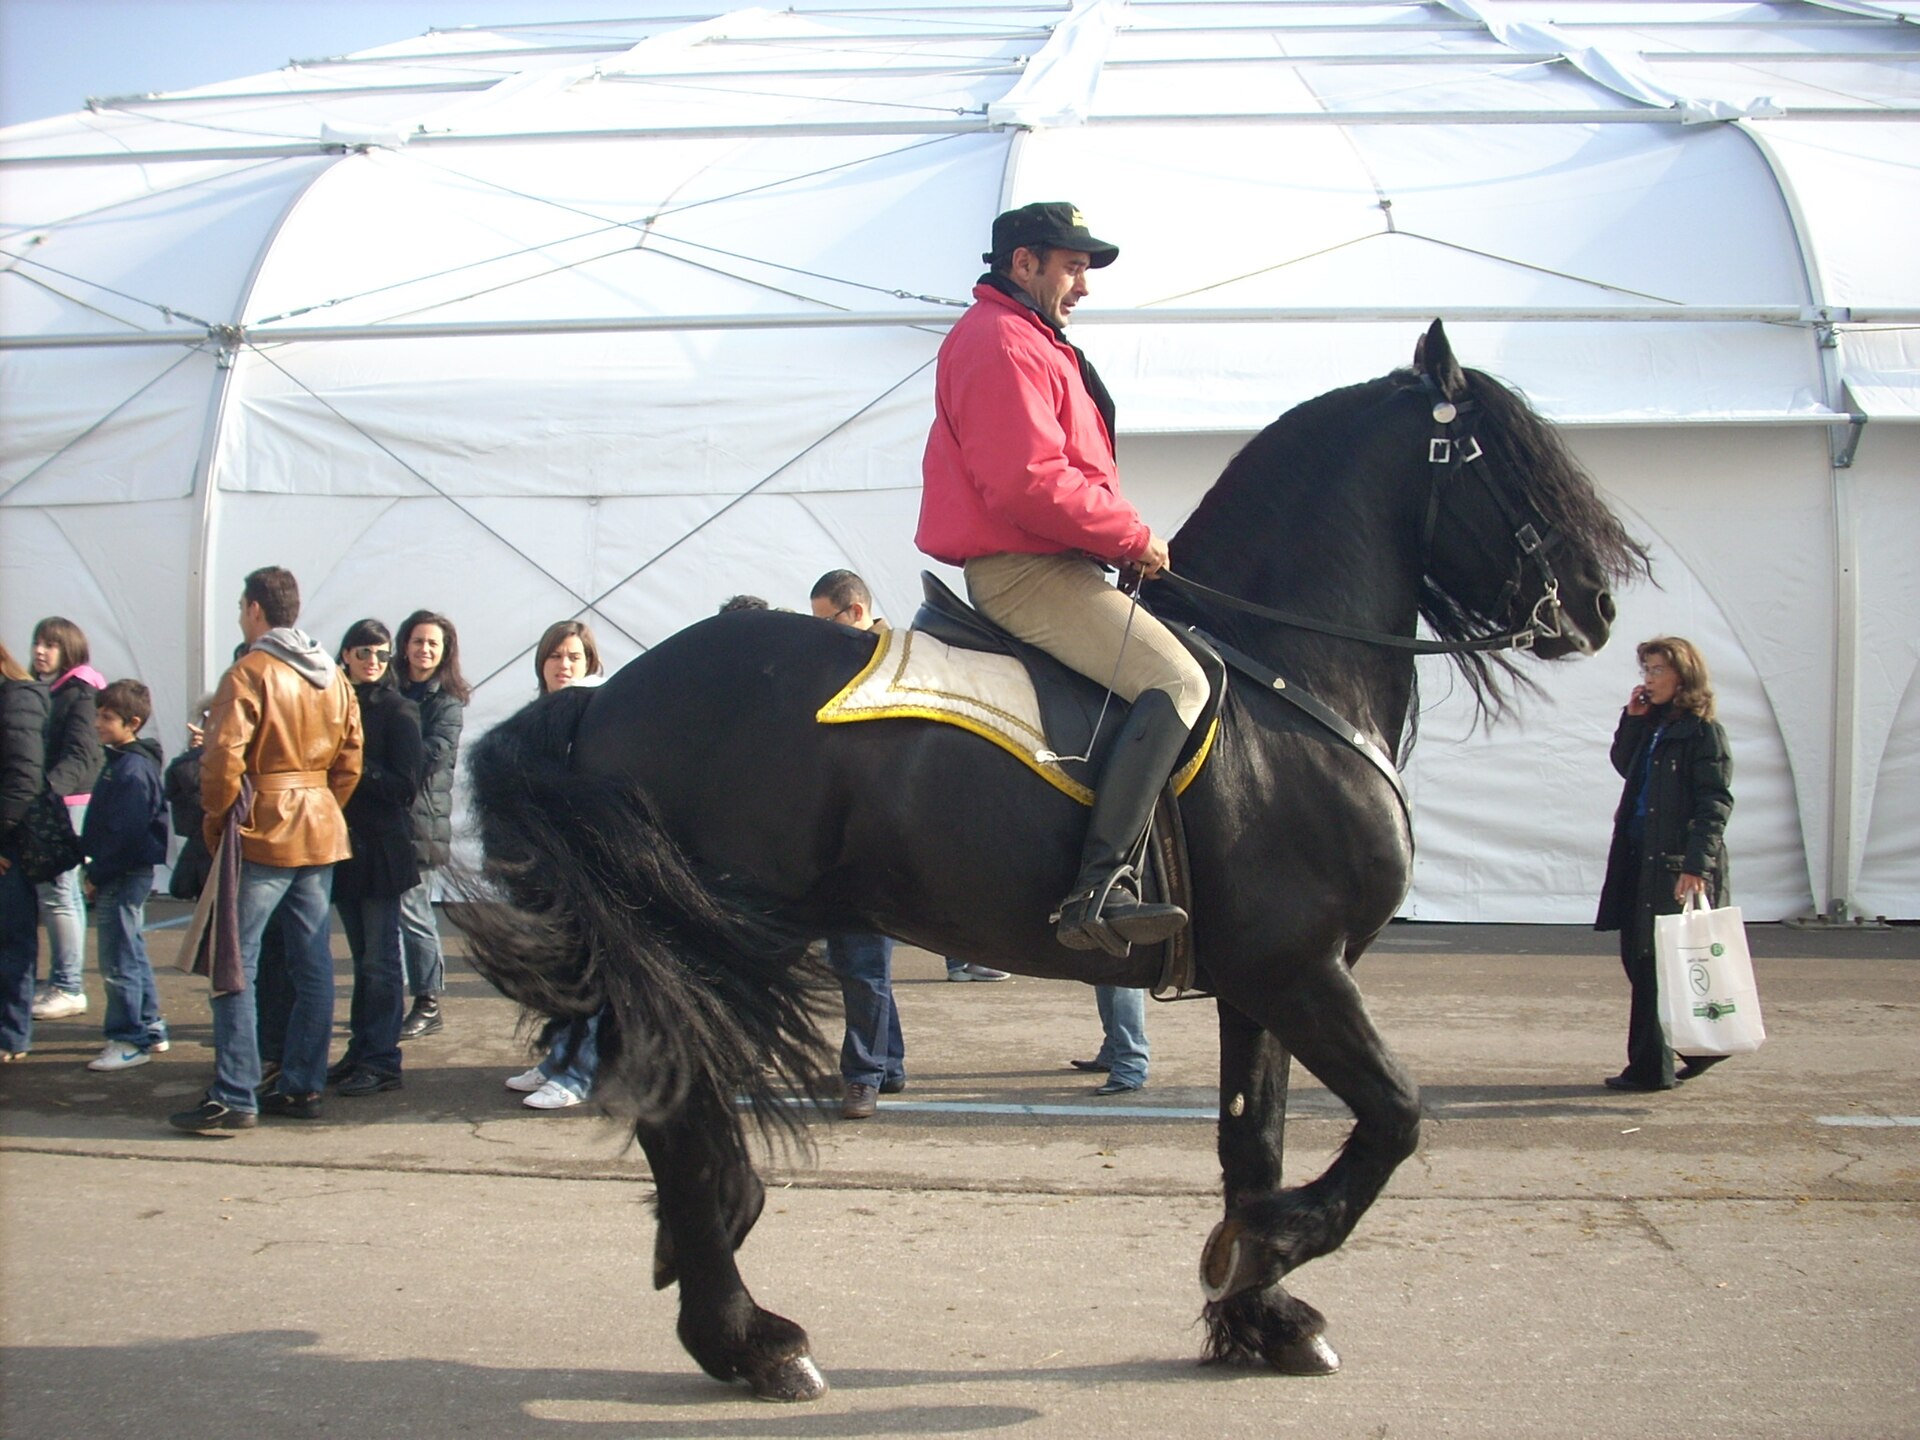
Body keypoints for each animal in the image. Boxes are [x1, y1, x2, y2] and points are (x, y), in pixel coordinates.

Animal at [457, 320, 1647, 1400]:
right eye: (1499, 457)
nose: (1596, 608)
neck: (1286, 680)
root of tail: (605, 694)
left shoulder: (1262, 984)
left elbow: (1253, 1143)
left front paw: (1259, 1313)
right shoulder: (1302, 970)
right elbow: (1397, 1114)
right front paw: (1265, 1253)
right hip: (712, 945)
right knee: (680, 1109)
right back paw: (751, 1339)